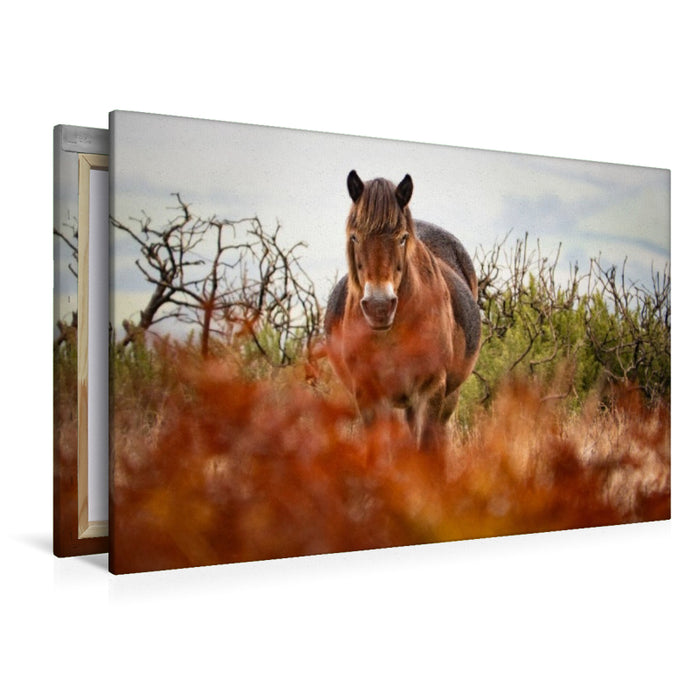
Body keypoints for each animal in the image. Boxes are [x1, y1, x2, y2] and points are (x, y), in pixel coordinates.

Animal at [324, 170, 481, 450]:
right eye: (355, 236)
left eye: (402, 238)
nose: (379, 306)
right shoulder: (368, 394)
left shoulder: (431, 390)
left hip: (448, 397)